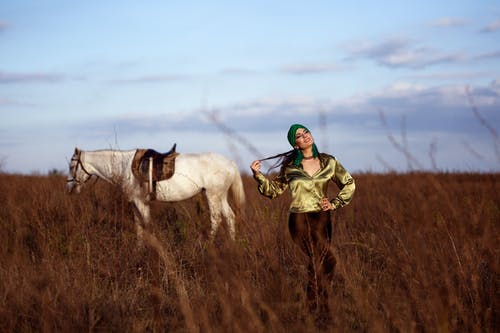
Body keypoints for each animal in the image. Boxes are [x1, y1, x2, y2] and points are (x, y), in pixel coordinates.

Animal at [66, 147, 246, 239]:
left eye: (71, 166)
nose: (69, 188)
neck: (123, 166)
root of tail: (230, 163)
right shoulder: (136, 203)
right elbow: (139, 227)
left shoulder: (140, 202)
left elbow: (146, 225)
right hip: (220, 196)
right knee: (229, 217)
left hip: (213, 195)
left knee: (216, 219)